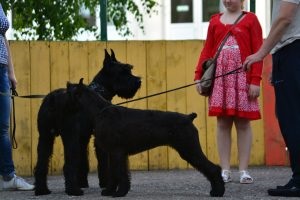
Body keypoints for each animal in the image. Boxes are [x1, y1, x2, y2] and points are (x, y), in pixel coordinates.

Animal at [33, 49, 141, 196]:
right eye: (122, 71)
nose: (138, 80)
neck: (99, 91)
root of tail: (53, 99)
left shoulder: (83, 138)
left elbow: (83, 161)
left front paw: (83, 182)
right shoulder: (96, 139)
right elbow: (103, 161)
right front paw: (105, 183)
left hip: (45, 136)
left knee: (41, 163)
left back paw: (41, 189)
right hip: (69, 136)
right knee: (68, 164)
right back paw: (73, 190)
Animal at [66, 79, 225, 198]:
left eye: (68, 91)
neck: (99, 111)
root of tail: (188, 118)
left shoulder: (117, 152)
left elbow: (119, 173)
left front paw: (118, 193)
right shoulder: (114, 153)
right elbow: (116, 173)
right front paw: (111, 191)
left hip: (189, 149)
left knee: (213, 168)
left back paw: (218, 192)